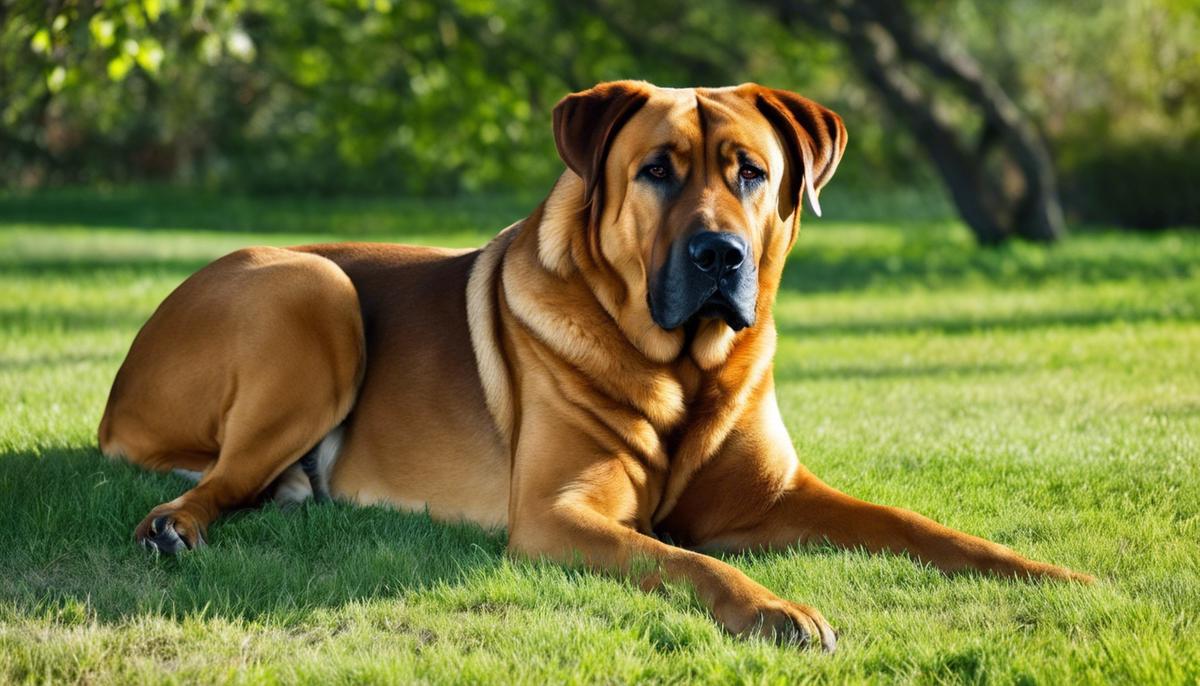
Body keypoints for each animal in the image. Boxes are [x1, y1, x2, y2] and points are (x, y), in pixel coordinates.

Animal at [98, 80, 1094, 647]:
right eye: (658, 170)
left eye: (752, 172)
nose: (720, 256)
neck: (687, 368)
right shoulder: (558, 516)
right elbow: (685, 561)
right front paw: (777, 610)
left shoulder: (775, 499)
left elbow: (921, 527)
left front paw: (1054, 575)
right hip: (313, 289)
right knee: (216, 479)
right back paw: (176, 525)